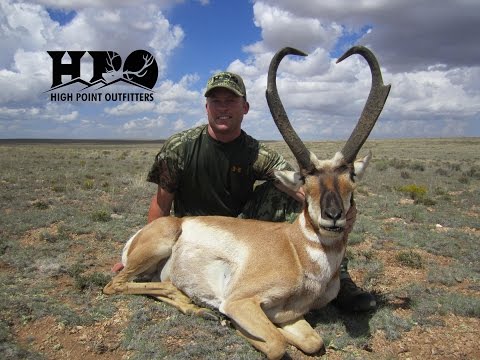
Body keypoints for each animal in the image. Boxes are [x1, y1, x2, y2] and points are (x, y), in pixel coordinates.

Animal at [103, 46, 388, 358]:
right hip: (158, 245)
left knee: (153, 285)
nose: (333, 216)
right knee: (115, 284)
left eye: (351, 179)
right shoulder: (241, 301)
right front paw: (233, 323)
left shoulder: (287, 315)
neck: (296, 249)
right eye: (305, 181)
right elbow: (276, 344)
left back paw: (197, 308)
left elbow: (313, 342)